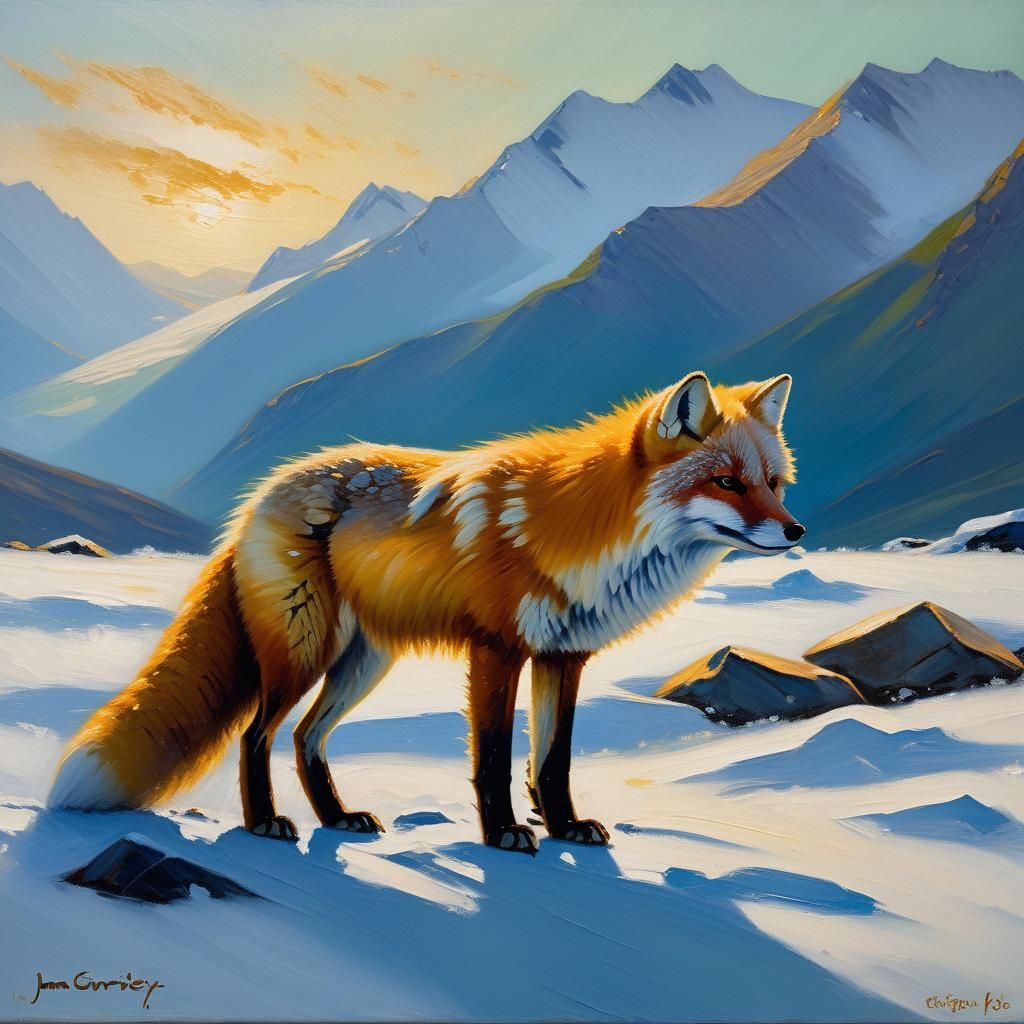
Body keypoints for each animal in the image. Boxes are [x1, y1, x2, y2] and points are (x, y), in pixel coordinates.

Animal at [49, 370, 803, 853]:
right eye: (726, 482)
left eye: (772, 483)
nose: (796, 531)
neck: (589, 532)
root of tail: (261, 494)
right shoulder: (498, 649)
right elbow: (494, 758)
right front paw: (502, 835)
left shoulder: (563, 655)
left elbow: (552, 761)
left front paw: (565, 828)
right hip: (304, 651)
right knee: (257, 736)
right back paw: (265, 822)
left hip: (364, 662)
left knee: (306, 738)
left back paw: (337, 817)